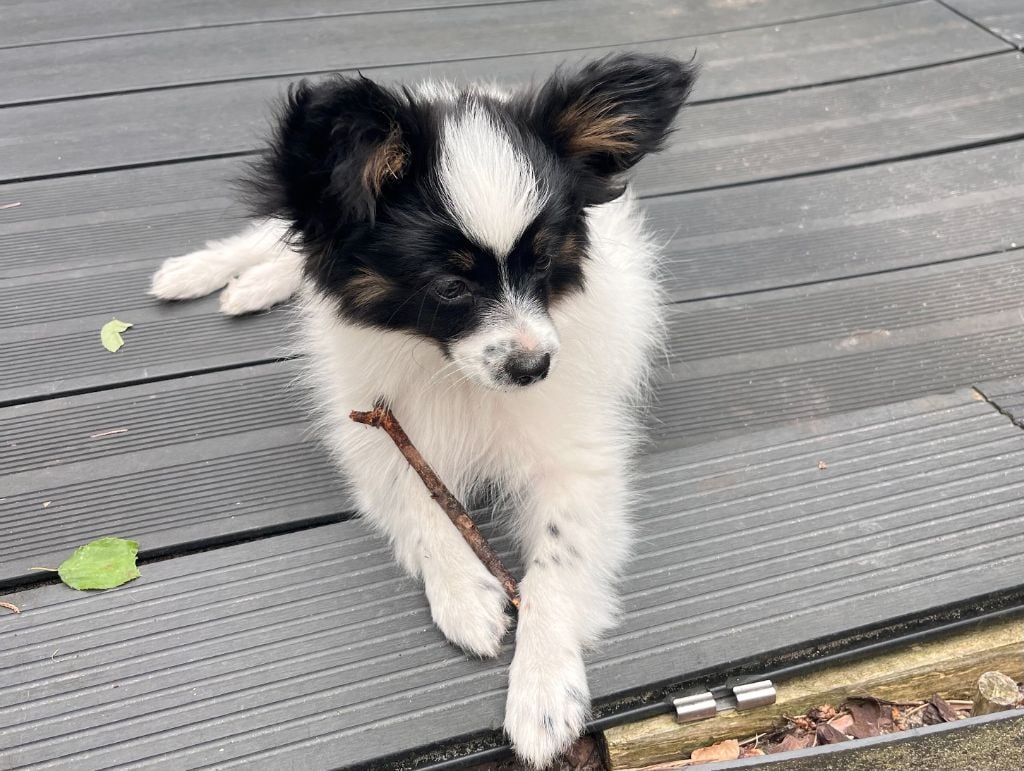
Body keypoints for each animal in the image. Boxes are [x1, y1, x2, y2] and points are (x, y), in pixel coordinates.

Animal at [150, 53, 696, 768]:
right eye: (450, 286)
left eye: (545, 262)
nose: (533, 369)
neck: (452, 374)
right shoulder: (376, 431)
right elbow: (422, 503)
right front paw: (465, 596)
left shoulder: (576, 460)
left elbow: (554, 569)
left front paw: (543, 692)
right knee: (282, 234)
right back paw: (206, 273)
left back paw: (253, 284)